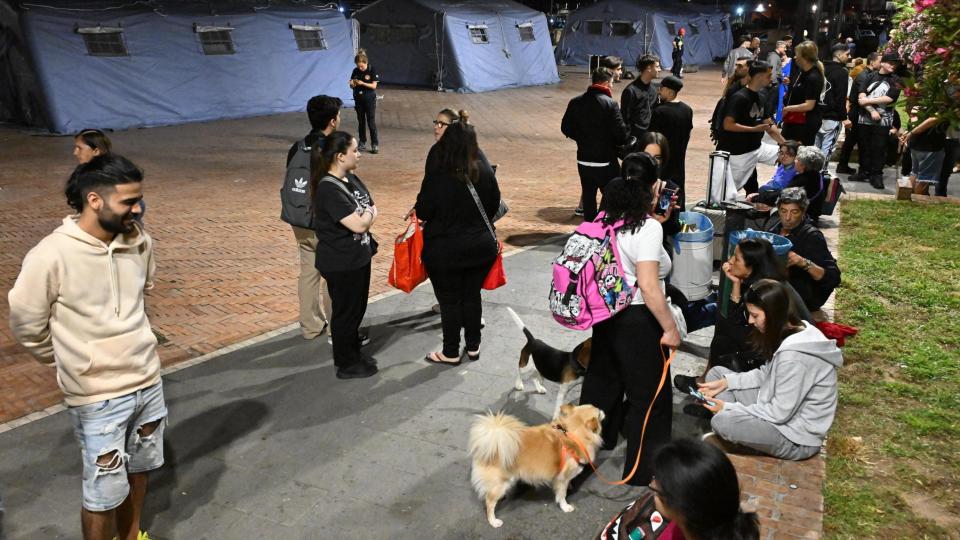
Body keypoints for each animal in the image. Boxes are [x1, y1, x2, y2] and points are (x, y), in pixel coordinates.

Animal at [466, 404, 608, 528]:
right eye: (598, 413)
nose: (603, 410)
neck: (572, 433)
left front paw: (571, 486)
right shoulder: (561, 479)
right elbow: (562, 495)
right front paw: (565, 506)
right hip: (501, 482)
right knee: (489, 502)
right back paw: (493, 521)